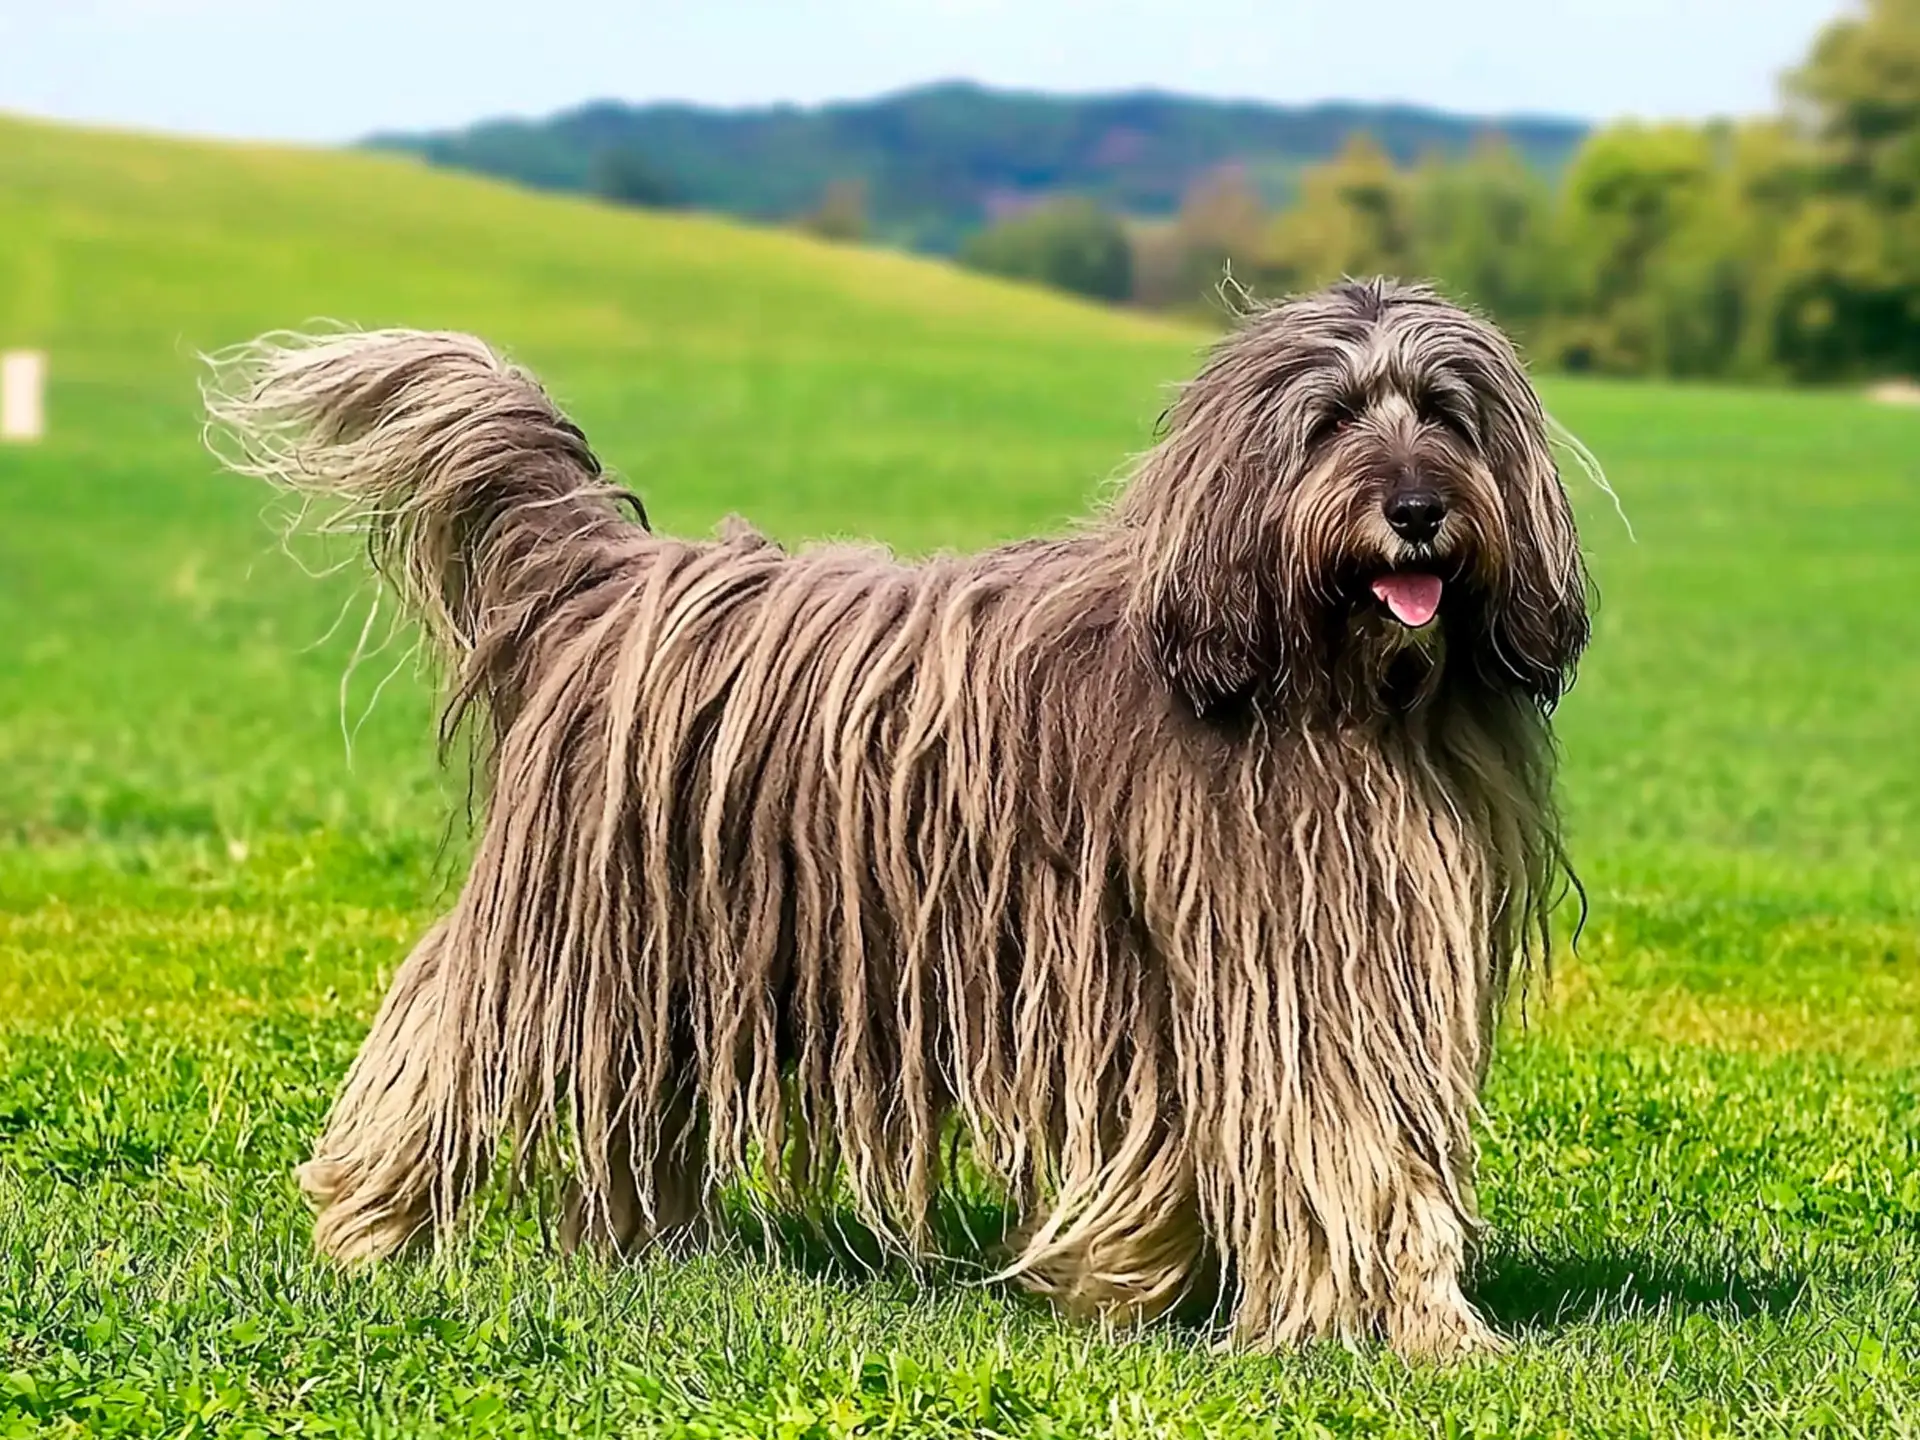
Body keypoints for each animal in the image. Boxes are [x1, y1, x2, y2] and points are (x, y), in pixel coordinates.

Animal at [206, 282, 1589, 1367]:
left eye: (1447, 413)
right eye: (1332, 420)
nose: (1416, 510)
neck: (1328, 688)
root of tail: (607, 572)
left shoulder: (1312, 969)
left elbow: (1345, 1157)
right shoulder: (1274, 975)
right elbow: (1344, 1152)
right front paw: (1378, 1325)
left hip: (675, 954)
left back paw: (640, 1248)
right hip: (571, 925)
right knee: (442, 1028)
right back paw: (365, 1223)